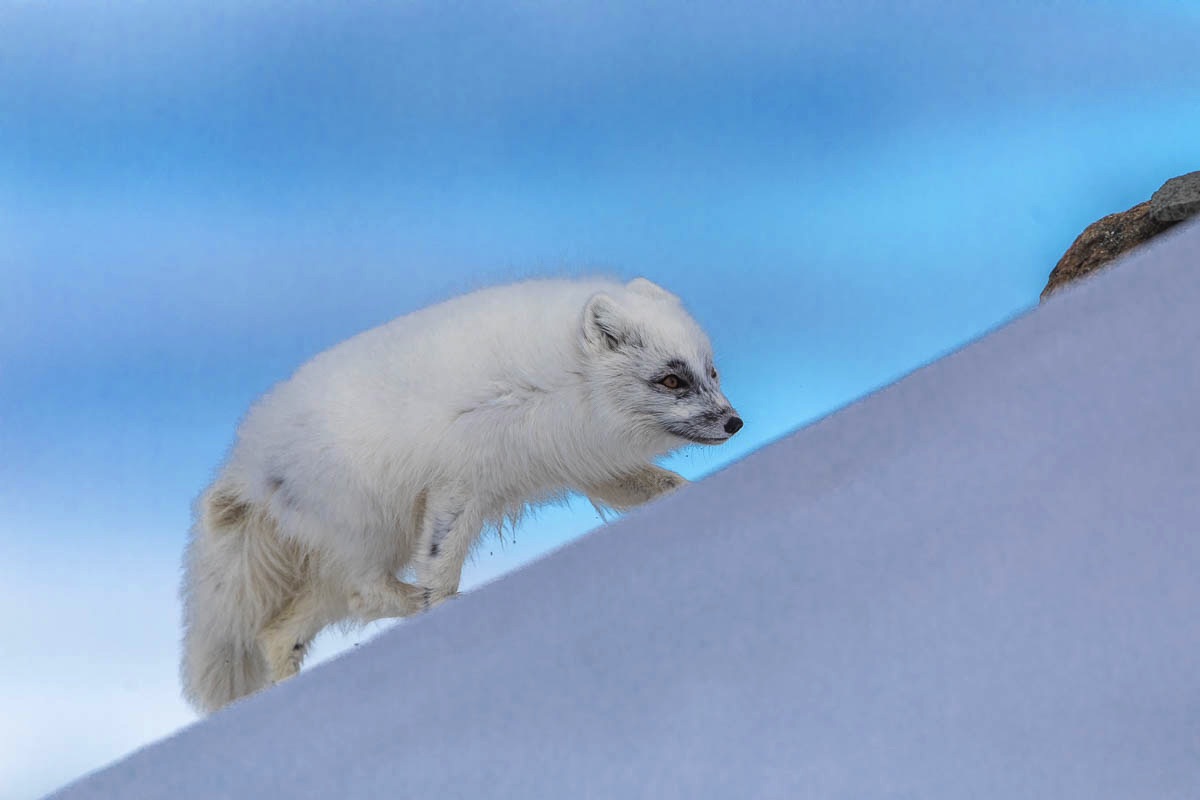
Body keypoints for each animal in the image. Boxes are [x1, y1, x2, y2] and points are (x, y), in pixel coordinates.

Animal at [180, 277, 739, 714]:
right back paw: (442, 604)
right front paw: (448, 614)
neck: (561, 384)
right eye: (671, 379)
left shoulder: (583, 466)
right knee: (367, 591)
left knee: (282, 630)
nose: (734, 422)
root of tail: (245, 464)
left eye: (712, 372)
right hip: (370, 532)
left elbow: (664, 489)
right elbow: (440, 563)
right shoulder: (458, 484)